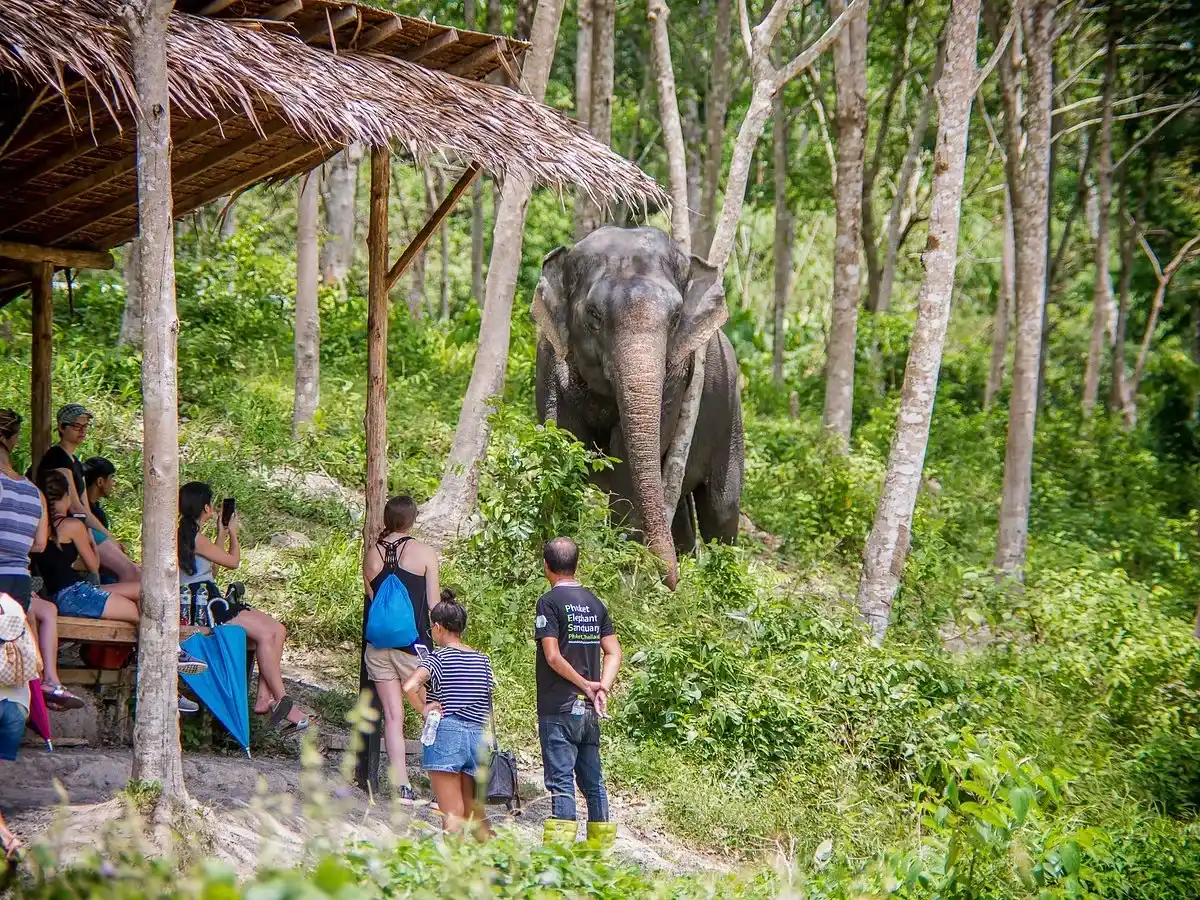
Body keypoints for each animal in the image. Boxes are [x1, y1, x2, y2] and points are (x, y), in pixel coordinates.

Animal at [531, 225, 744, 588]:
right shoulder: (548, 359)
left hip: (731, 415)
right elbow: (561, 445)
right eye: (593, 314)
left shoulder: (677, 377)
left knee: (721, 507)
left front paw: (624, 566)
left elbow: (627, 463)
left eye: (676, 317)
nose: (669, 582)